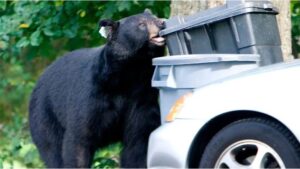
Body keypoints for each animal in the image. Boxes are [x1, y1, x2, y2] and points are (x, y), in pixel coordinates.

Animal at [29, 10, 165, 168]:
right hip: (45, 116)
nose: (162, 22)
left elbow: (138, 142)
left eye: (154, 17)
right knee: (52, 149)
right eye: (141, 24)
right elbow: (79, 139)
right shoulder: (92, 96)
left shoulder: (141, 99)